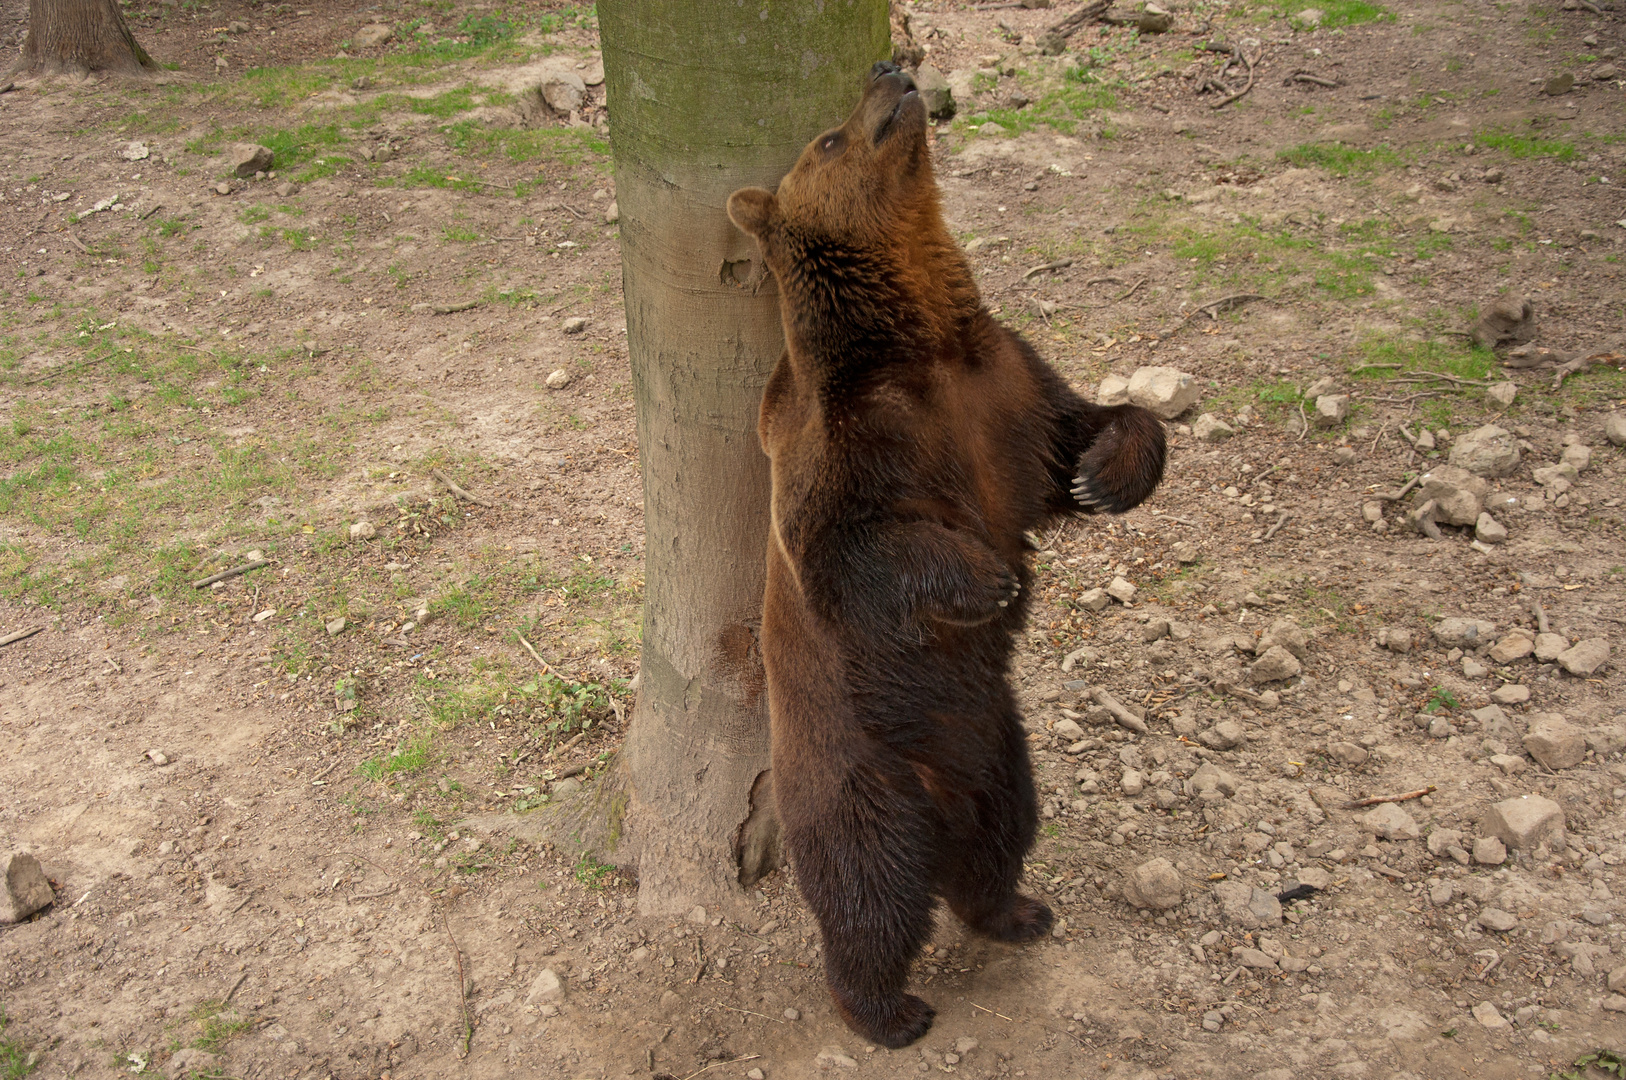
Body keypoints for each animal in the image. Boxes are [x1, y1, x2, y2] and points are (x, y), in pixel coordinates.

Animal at [728, 58, 1170, 1047]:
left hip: (1000, 749)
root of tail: (939, 799)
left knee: (1000, 842)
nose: (890, 67)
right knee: (870, 896)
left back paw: (1019, 911)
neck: (919, 334)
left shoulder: (1007, 389)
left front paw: (1107, 477)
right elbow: (850, 549)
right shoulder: (847, 443)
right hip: (860, 774)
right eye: (827, 139)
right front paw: (991, 581)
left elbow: (1086, 428)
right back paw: (888, 1008)